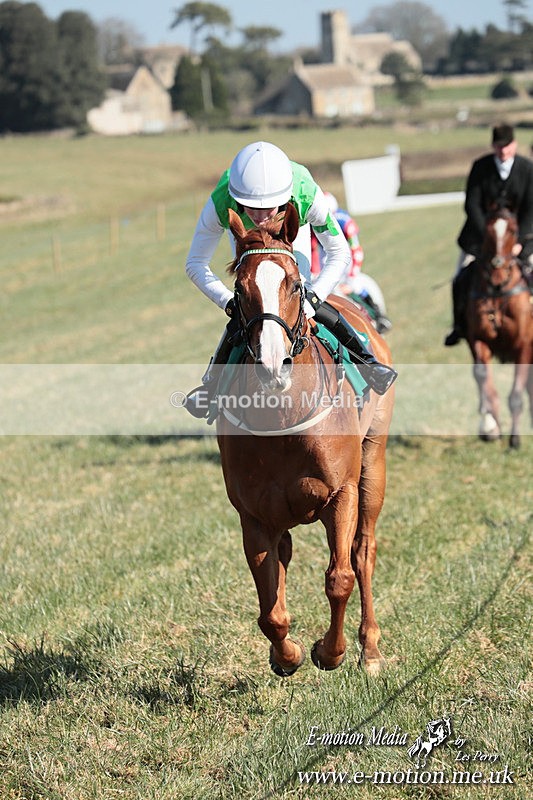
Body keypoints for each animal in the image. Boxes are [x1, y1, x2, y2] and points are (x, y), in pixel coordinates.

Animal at [216, 204, 395, 677]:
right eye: (239, 290)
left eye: (295, 284)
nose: (272, 364)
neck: (285, 418)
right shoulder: (254, 514)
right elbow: (270, 610)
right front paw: (288, 655)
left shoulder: (340, 494)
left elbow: (340, 578)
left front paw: (330, 652)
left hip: (373, 463)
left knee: (363, 551)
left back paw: (370, 649)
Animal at [465, 206, 533, 448]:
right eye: (487, 230)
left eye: (513, 230)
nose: (496, 268)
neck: (498, 291)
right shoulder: (478, 340)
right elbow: (482, 377)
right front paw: (489, 425)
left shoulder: (524, 346)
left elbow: (516, 395)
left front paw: (515, 440)